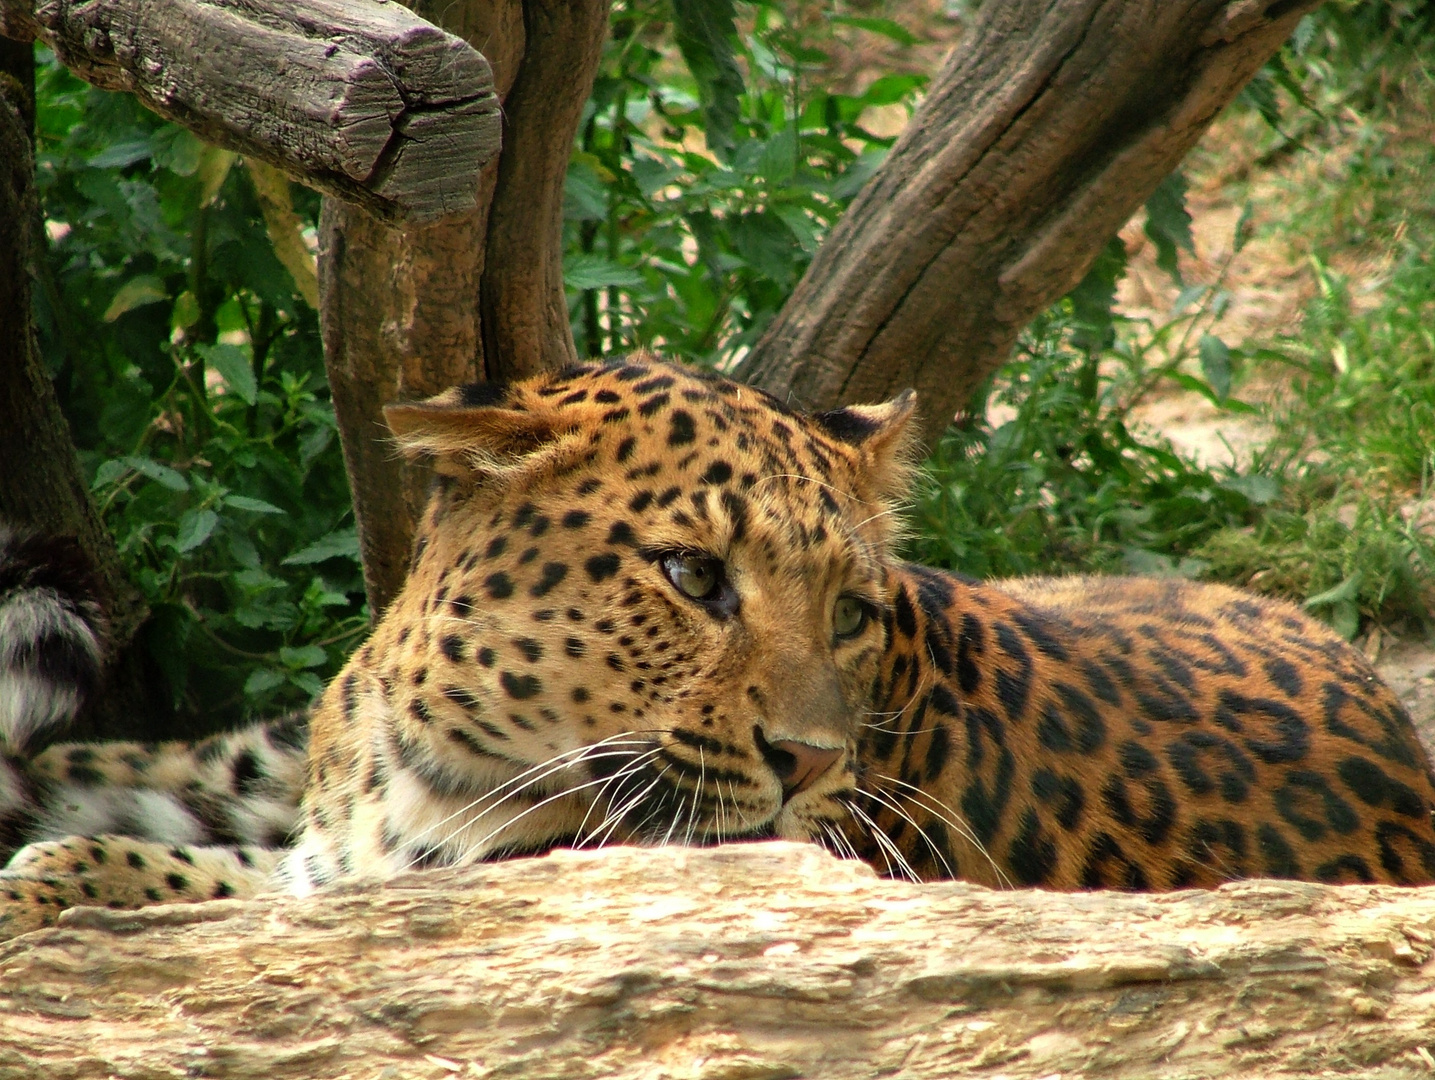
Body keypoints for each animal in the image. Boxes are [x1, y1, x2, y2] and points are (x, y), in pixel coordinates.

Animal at [2, 360, 1435, 935]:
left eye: (849, 611)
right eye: (693, 577)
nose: (809, 764)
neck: (430, 756)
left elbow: (206, 888)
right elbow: (140, 858)